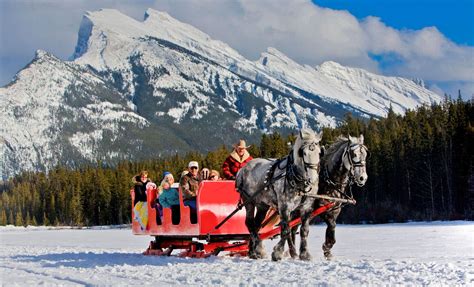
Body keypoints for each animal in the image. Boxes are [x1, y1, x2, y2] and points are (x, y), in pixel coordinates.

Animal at [236, 129, 322, 262]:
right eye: (303, 153)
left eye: (319, 152)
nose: (312, 180)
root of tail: (242, 170)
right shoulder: (284, 206)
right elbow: (286, 230)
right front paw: (277, 253)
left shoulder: (307, 207)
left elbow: (304, 231)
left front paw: (304, 254)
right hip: (248, 201)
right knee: (250, 223)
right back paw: (259, 249)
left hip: (262, 205)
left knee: (256, 224)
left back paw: (253, 252)